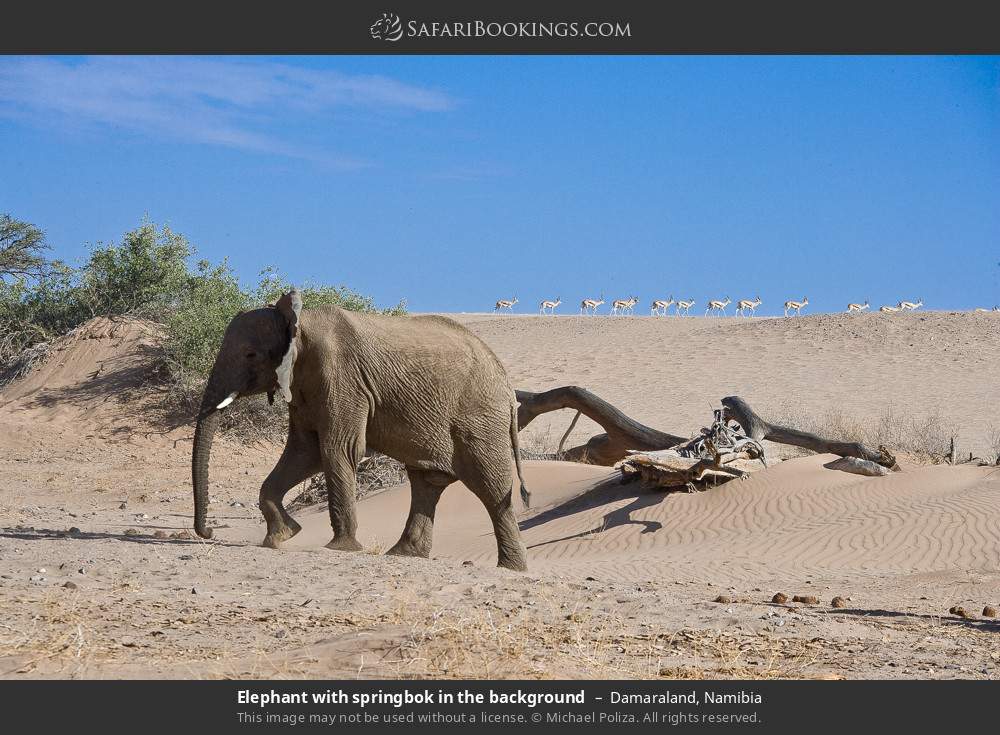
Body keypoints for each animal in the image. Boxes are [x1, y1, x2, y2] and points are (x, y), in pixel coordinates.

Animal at [191, 290, 531, 570]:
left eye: (250, 355)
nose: (208, 531)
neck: (299, 322)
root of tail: (505, 381)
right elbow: (305, 452)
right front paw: (282, 536)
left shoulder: (342, 378)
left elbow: (338, 449)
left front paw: (340, 548)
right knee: (426, 481)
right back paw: (403, 554)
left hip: (479, 416)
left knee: (490, 485)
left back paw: (512, 568)